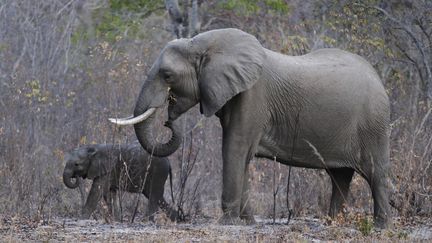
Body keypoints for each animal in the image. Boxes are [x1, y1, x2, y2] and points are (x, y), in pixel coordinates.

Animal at [110, 28, 392, 228]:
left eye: (167, 75)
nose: (168, 120)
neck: (203, 43)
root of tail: (378, 77)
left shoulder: (253, 96)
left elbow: (234, 148)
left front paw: (227, 222)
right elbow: (242, 155)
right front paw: (248, 221)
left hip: (373, 124)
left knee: (375, 173)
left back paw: (380, 226)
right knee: (340, 176)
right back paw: (333, 223)